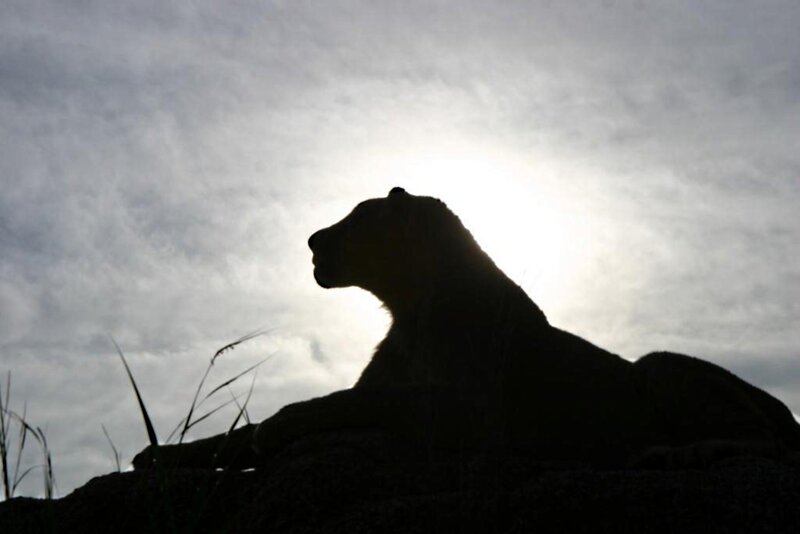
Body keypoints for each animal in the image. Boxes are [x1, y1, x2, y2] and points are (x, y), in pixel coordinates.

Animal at [134, 187, 800, 470]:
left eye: (359, 218)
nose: (312, 240)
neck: (408, 308)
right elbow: (242, 431)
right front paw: (169, 453)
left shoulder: (475, 412)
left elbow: (331, 405)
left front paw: (279, 426)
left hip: (661, 366)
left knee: (765, 441)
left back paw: (682, 448)